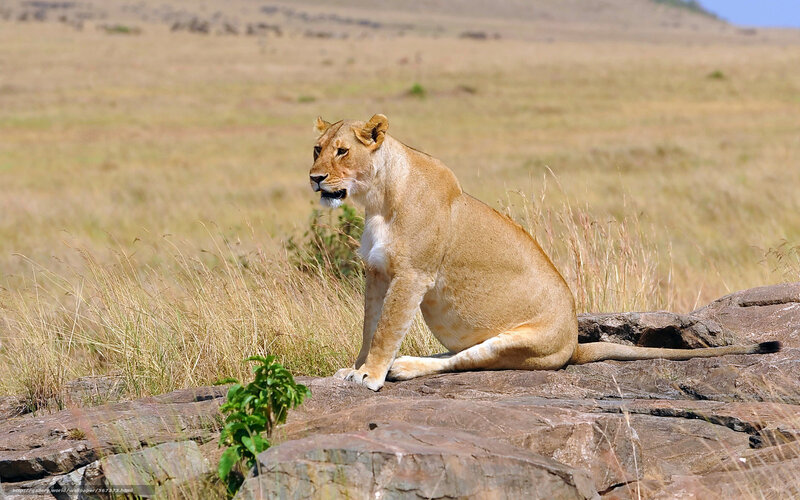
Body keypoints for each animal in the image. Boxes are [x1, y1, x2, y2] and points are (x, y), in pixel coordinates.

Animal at [308, 114, 781, 391]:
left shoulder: (412, 275)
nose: (314, 178)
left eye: (343, 151)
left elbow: (386, 328)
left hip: (520, 342)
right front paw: (354, 368)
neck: (375, 200)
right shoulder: (377, 272)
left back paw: (404, 367)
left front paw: (370, 375)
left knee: (466, 361)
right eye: (317, 148)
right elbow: (370, 326)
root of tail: (574, 345)